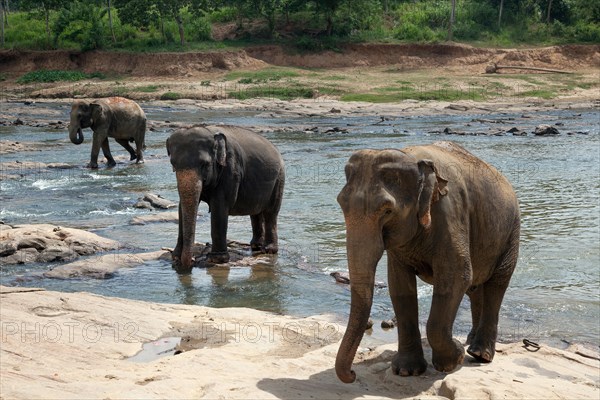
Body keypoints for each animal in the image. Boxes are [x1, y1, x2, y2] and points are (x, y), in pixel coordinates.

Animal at [165, 126, 284, 274]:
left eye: (205, 164)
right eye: (173, 164)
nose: (191, 261)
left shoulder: (231, 169)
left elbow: (220, 206)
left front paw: (216, 259)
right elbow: (181, 207)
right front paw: (175, 256)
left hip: (279, 178)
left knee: (270, 213)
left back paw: (268, 250)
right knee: (255, 213)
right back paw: (256, 246)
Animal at [336, 140, 516, 382]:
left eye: (387, 210)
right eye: (341, 204)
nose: (353, 374)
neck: (412, 158)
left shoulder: (451, 212)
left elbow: (456, 275)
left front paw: (453, 359)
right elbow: (399, 285)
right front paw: (407, 371)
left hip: (511, 234)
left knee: (496, 285)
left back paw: (480, 354)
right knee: (475, 289)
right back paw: (470, 342)